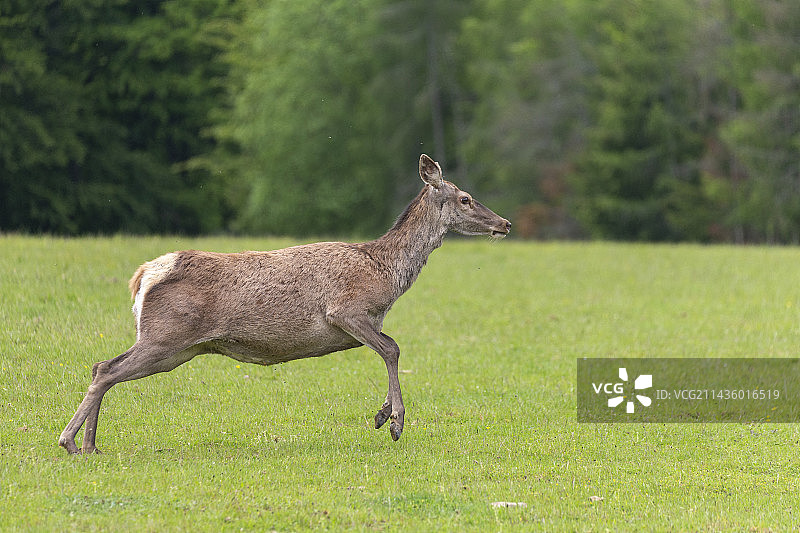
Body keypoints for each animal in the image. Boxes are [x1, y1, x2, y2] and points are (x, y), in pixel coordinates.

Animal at [59, 154, 511, 454]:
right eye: (466, 198)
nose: (504, 223)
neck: (385, 272)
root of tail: (143, 276)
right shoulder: (345, 310)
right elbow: (393, 347)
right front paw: (395, 420)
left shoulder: (357, 327)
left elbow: (388, 348)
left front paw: (383, 413)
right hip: (166, 335)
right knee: (106, 369)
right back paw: (69, 441)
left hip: (176, 347)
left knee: (103, 367)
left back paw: (91, 445)